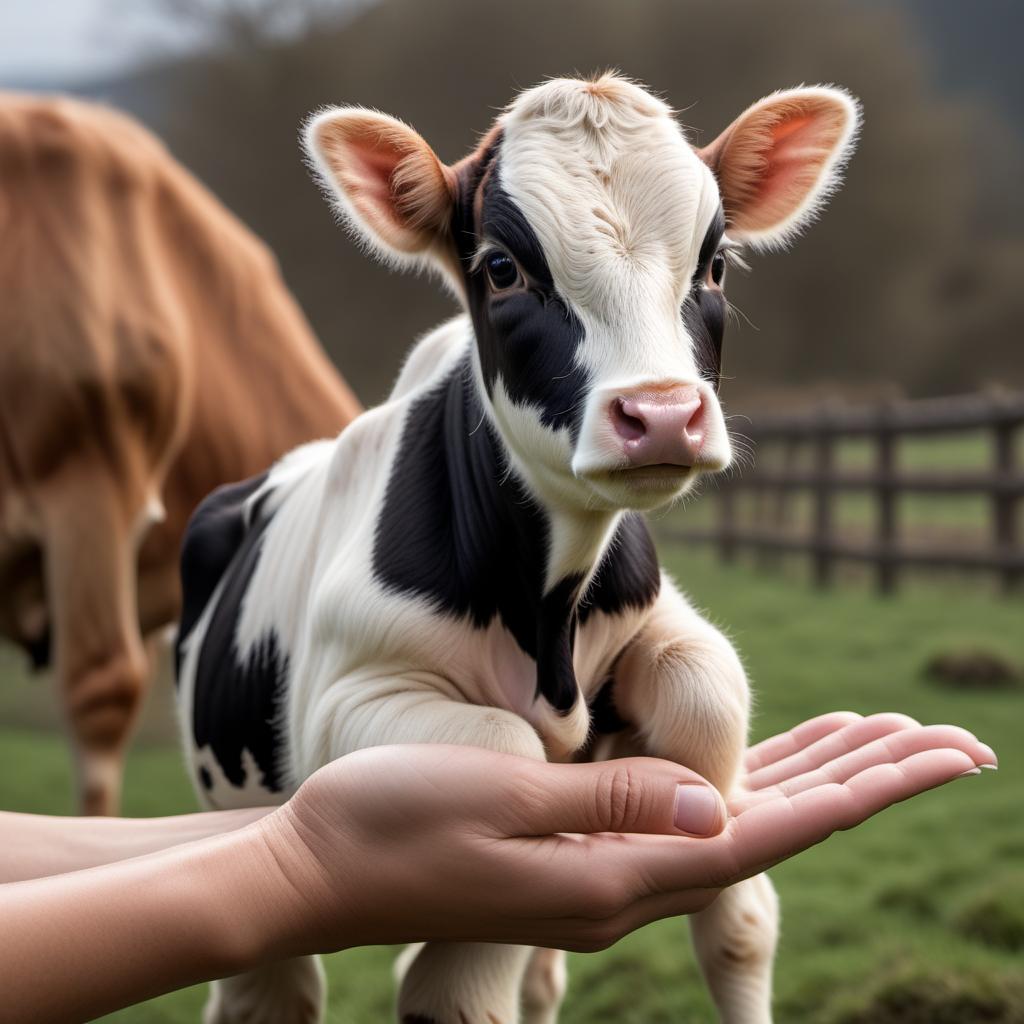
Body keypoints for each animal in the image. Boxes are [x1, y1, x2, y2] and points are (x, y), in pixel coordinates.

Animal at [178, 74, 864, 1024]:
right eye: (503, 268)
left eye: (717, 262)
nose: (661, 414)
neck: (548, 618)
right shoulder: (345, 700)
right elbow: (498, 767)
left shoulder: (664, 624)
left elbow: (707, 706)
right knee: (271, 988)